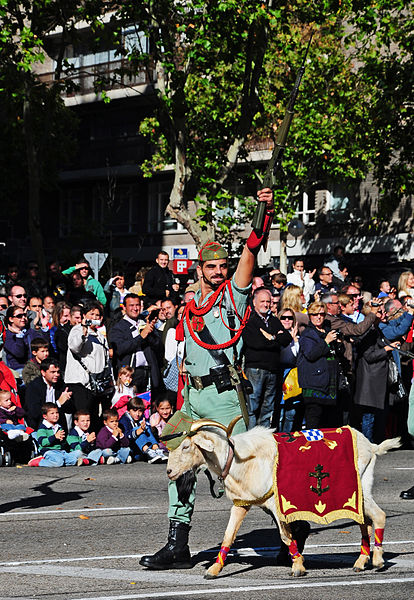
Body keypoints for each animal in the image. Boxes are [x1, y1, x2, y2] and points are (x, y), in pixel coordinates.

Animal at [166, 420, 402, 580]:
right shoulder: (241, 504)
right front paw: (214, 570)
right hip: (358, 495)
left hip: (359, 491)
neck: (235, 459)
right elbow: (228, 536)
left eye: (186, 446)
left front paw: (298, 567)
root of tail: (371, 446)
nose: (169, 472)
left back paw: (378, 561)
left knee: (379, 516)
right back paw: (361, 562)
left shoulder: (276, 503)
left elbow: (286, 536)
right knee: (365, 522)